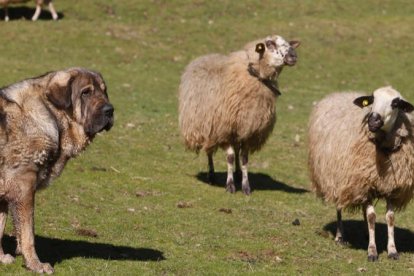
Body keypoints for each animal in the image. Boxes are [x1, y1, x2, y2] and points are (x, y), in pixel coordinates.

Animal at [0, 68, 114, 272]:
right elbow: (28, 233)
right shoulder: (23, 188)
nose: (110, 110)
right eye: (86, 92)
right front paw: (35, 264)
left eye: (104, 91)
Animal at [180, 35, 300, 194]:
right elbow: (230, 157)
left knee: (236, 150)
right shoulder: (224, 130)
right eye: (270, 44)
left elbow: (244, 158)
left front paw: (245, 186)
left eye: (288, 43)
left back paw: (237, 173)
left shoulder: (249, 131)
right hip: (207, 126)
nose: (293, 55)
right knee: (210, 151)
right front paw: (230, 185)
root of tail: (205, 56)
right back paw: (212, 175)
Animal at [308, 87, 414, 262]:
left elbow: (390, 217)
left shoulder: (390, 187)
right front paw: (372, 251)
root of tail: (340, 93)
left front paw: (392, 250)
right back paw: (340, 237)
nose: (373, 120)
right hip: (339, 177)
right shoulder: (364, 183)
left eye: (395, 103)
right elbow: (372, 217)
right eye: (372, 99)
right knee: (339, 205)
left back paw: (365, 233)